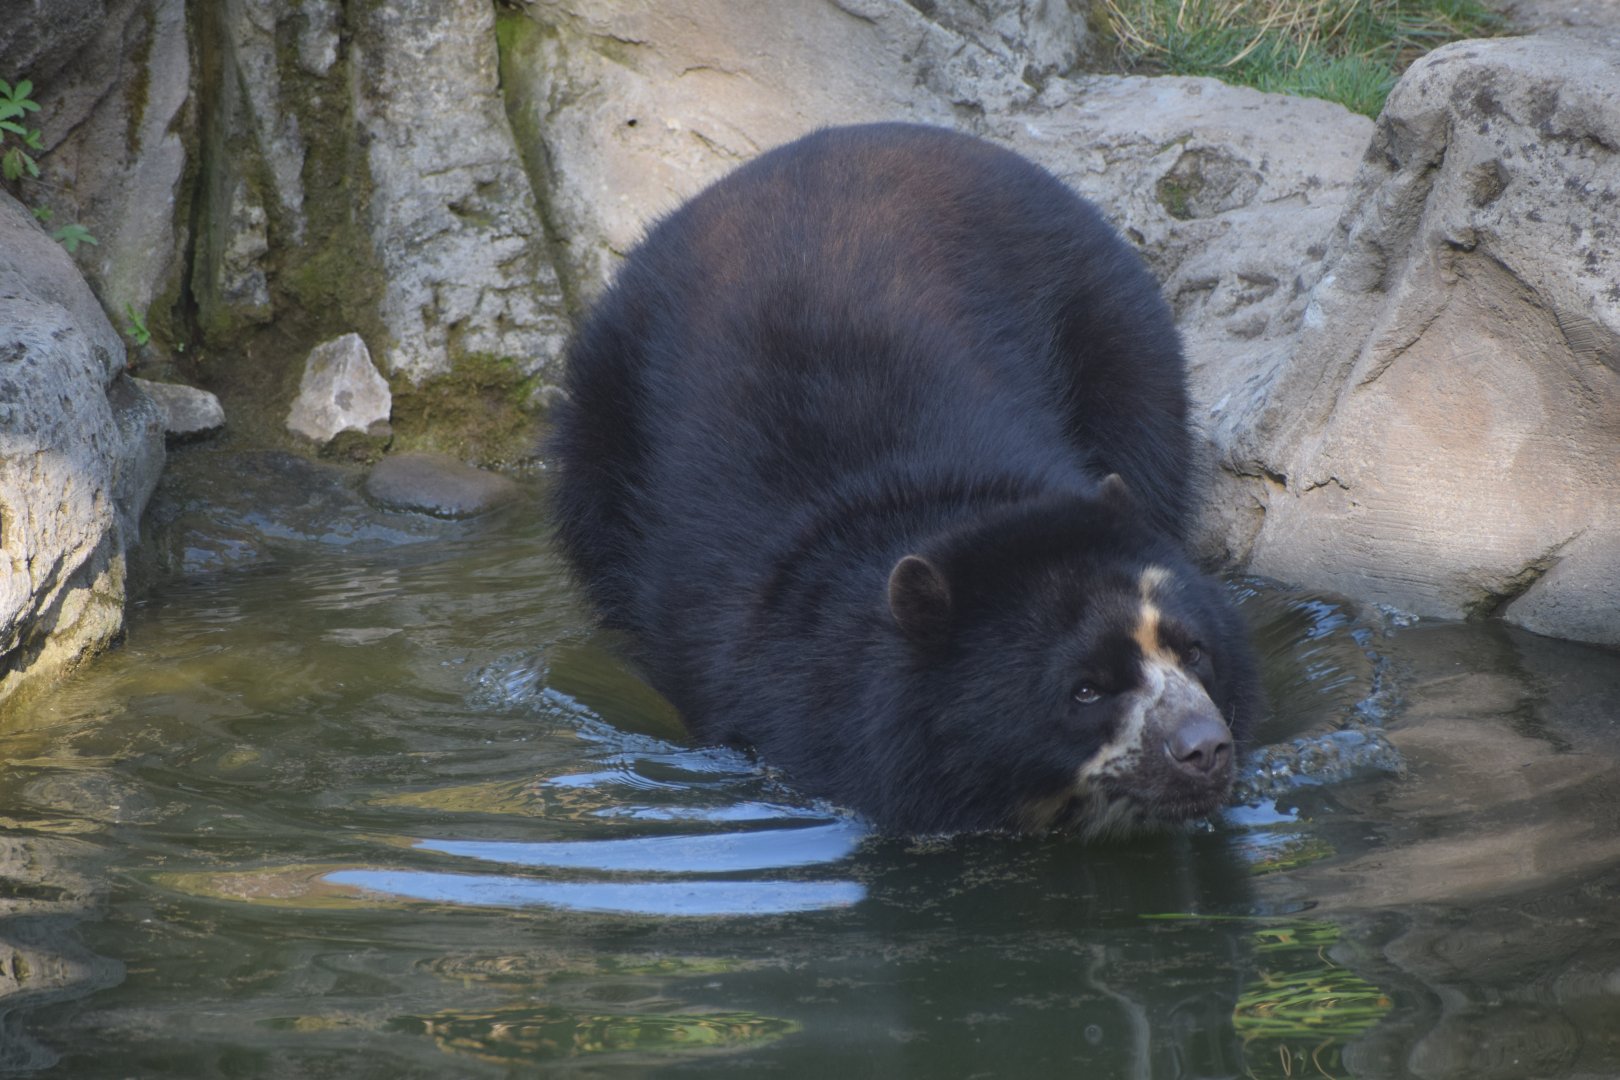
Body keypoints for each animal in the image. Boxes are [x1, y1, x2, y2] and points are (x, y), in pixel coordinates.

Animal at [548, 122, 1263, 836]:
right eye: (1085, 689)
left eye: (1192, 649)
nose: (1203, 747)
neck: (945, 507)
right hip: (604, 412)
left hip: (1113, 322)